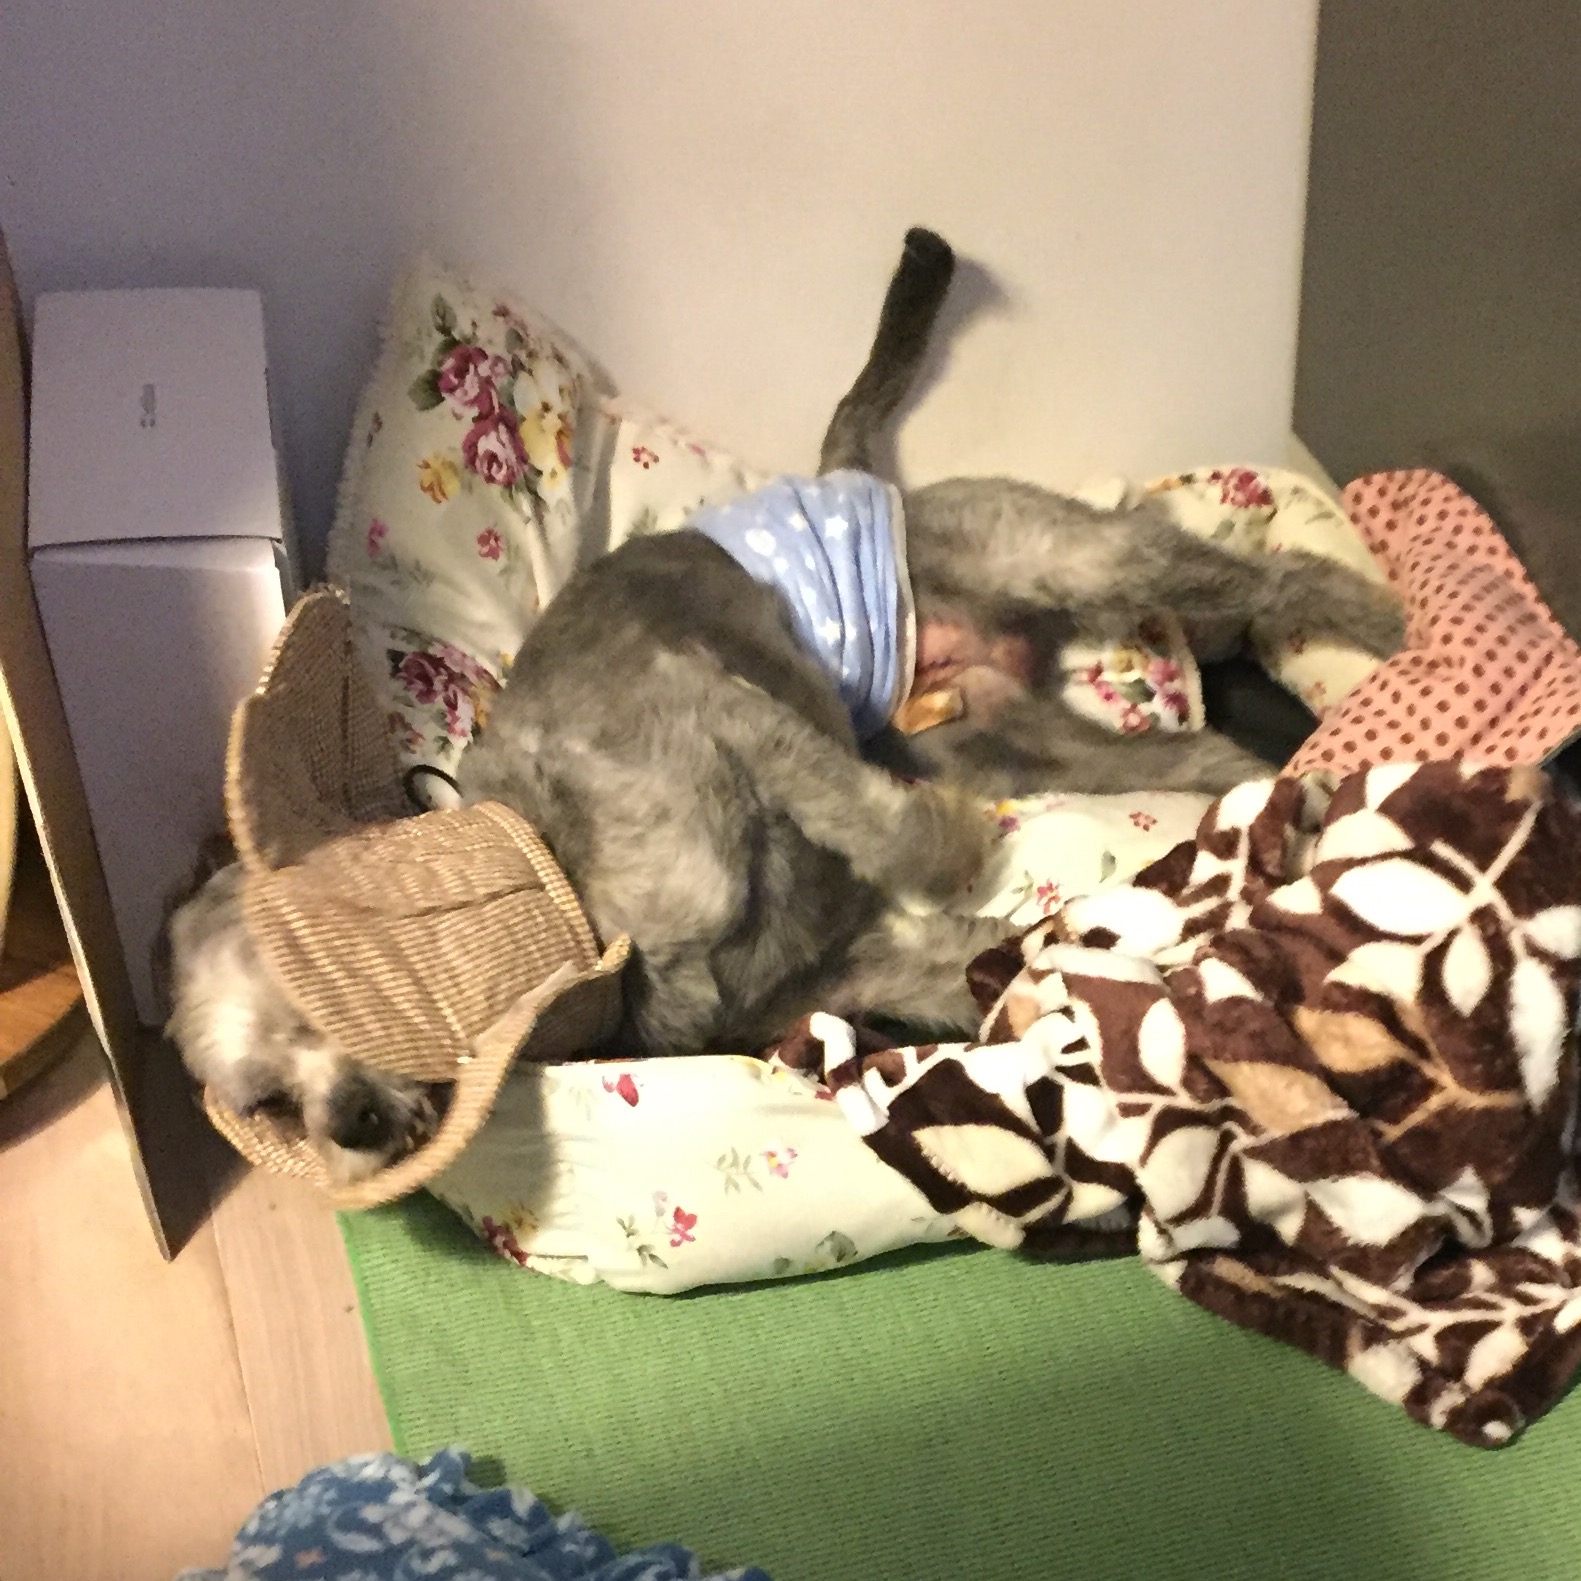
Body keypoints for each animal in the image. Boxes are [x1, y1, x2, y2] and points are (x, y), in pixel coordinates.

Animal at [165, 228, 1403, 1180]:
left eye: (331, 995)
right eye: (263, 1100)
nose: (349, 1123)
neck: (572, 888)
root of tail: (856, 476)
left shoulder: (719, 717)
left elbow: (884, 830)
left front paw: (954, 854)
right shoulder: (838, 973)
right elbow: (997, 961)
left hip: (1067, 562)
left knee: (1255, 579)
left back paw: (1379, 620)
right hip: (1010, 741)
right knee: (1199, 757)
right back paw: (1287, 796)